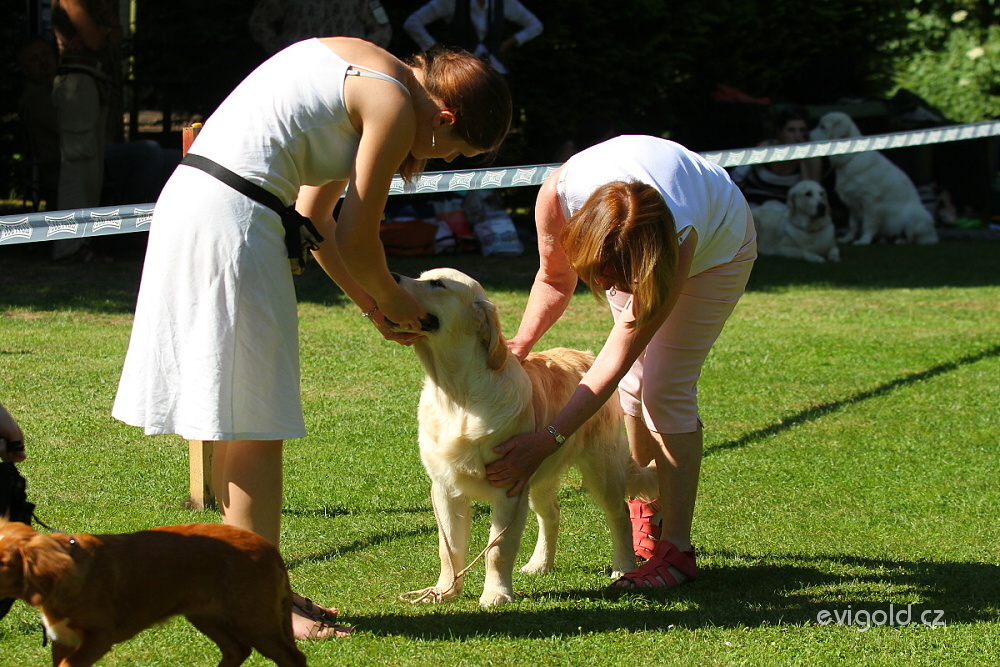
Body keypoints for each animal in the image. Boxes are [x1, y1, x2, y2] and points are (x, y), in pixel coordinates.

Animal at [0, 520, 306, 667]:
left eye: (3, 563)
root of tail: (269, 548)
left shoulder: (99, 635)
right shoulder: (62, 640)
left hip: (254, 619)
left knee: (292, 657)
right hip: (205, 614)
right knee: (236, 650)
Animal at [387, 268, 657, 606]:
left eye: (438, 284)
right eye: (421, 276)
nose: (392, 276)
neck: (456, 394)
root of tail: (586, 356)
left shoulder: (509, 489)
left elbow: (497, 550)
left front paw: (496, 594)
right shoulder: (445, 488)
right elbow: (448, 549)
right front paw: (444, 590)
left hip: (600, 468)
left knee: (618, 514)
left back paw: (624, 566)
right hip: (540, 476)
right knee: (551, 514)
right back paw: (540, 563)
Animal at [810, 111, 938, 245]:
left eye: (822, 127)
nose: (806, 135)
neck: (850, 158)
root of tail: (933, 235)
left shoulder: (871, 200)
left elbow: (868, 223)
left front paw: (864, 240)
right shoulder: (852, 202)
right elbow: (853, 224)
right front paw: (848, 238)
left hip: (915, 217)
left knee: (914, 238)